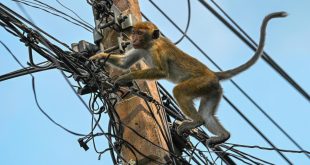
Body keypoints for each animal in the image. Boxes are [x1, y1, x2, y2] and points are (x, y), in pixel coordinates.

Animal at [90, 11, 288, 146]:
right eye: (134, 32)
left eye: (139, 33)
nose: (133, 37)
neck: (150, 44)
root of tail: (212, 73)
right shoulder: (139, 49)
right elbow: (124, 62)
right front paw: (97, 57)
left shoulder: (156, 51)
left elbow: (161, 72)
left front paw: (126, 77)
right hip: (213, 90)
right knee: (207, 114)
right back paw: (223, 135)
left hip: (202, 83)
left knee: (180, 91)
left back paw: (196, 122)